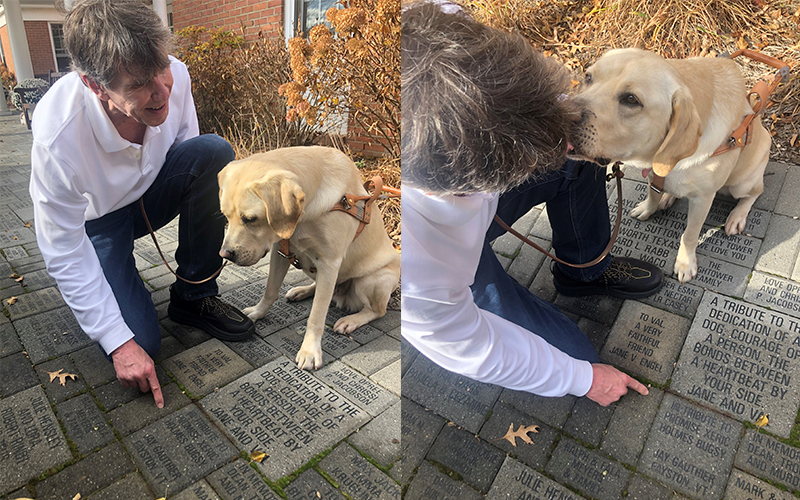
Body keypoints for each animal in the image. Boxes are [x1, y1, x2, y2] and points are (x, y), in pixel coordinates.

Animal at [217, 146, 400, 370]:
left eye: (250, 219)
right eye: (225, 216)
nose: (225, 254)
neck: (307, 213)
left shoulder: (330, 262)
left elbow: (316, 315)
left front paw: (310, 351)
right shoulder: (280, 250)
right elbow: (270, 290)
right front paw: (259, 311)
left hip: (372, 280)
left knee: (376, 310)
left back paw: (351, 320)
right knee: (323, 288)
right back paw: (302, 291)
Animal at [568, 49, 768, 286]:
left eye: (631, 99)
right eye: (588, 77)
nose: (560, 114)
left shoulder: (703, 198)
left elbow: (690, 235)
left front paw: (685, 263)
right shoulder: (652, 173)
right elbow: (652, 194)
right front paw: (649, 207)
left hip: (740, 183)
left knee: (756, 192)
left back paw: (737, 216)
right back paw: (668, 196)